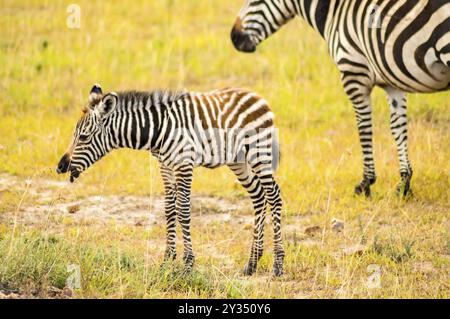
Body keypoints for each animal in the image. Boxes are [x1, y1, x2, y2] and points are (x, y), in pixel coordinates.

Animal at [56, 85, 284, 278]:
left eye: (83, 137)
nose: (60, 167)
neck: (158, 130)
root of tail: (256, 95)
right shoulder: (165, 165)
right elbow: (169, 209)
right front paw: (167, 261)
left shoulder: (184, 163)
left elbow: (183, 210)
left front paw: (188, 264)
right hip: (238, 161)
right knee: (258, 196)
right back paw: (252, 264)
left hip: (258, 153)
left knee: (274, 196)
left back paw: (278, 265)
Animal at [232, 0, 450, 198]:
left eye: (254, 0)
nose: (233, 37)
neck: (334, 11)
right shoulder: (393, 82)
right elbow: (398, 128)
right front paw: (404, 184)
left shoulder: (353, 73)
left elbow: (364, 128)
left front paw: (366, 183)